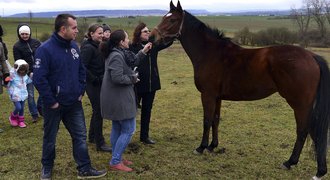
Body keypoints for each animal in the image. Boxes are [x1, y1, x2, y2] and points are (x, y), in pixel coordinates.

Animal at [151, 1, 330, 179]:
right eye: (163, 17)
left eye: (172, 20)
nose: (152, 37)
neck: (210, 53)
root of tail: (311, 56)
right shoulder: (217, 97)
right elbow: (216, 120)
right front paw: (212, 146)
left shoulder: (207, 95)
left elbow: (207, 120)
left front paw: (201, 147)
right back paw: (318, 170)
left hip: (300, 105)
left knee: (303, 131)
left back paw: (291, 163)